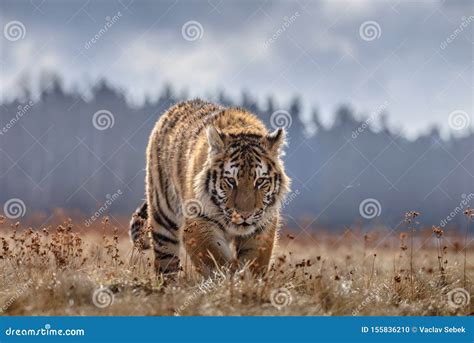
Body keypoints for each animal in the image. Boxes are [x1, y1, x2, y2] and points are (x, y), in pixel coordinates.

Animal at [131, 99, 290, 276]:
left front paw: (245, 279)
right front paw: (227, 279)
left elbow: (253, 263)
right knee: (166, 263)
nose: (245, 215)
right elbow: (216, 260)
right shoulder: (197, 221)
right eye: (231, 181)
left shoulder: (263, 226)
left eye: (260, 181)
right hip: (163, 220)